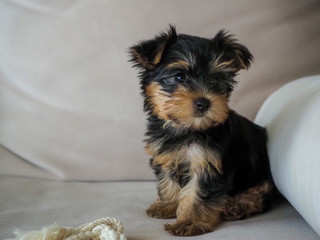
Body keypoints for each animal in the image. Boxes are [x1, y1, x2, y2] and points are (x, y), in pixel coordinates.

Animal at [129, 25, 274, 236]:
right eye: (179, 77)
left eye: (215, 81)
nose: (204, 102)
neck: (186, 129)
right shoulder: (166, 154)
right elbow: (168, 182)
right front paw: (167, 205)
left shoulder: (208, 164)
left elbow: (198, 194)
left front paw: (189, 223)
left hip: (261, 175)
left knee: (260, 194)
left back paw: (237, 206)